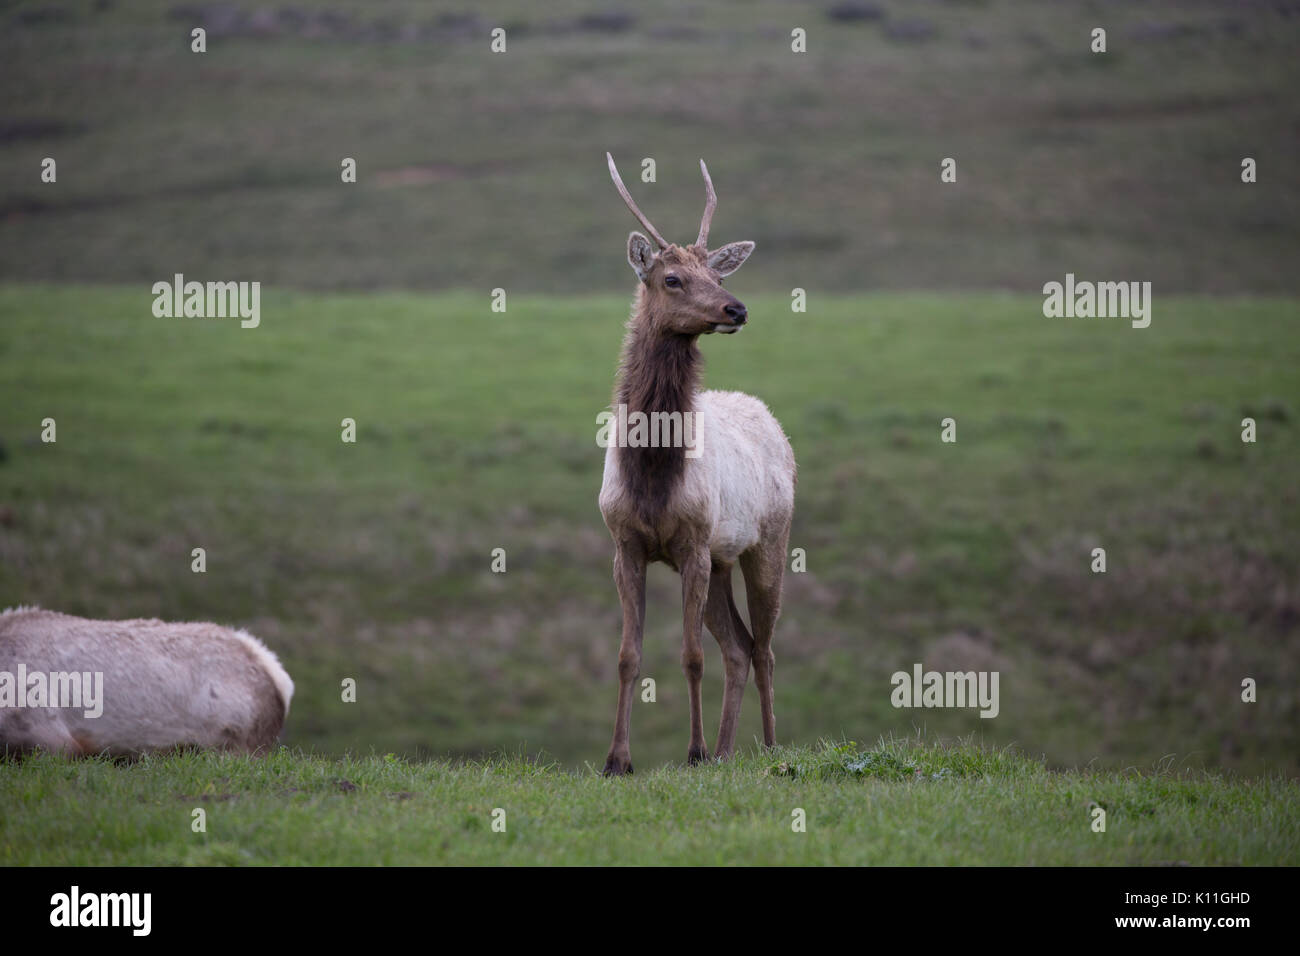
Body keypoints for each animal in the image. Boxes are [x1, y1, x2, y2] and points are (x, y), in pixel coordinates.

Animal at [595, 151, 790, 780]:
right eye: (671, 278)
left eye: (719, 276)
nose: (737, 307)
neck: (654, 474)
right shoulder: (626, 543)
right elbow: (629, 655)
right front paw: (617, 760)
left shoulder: (693, 543)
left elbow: (690, 656)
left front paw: (694, 750)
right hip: (723, 560)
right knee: (739, 646)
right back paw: (728, 752)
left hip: (767, 541)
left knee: (763, 647)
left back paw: (768, 748)